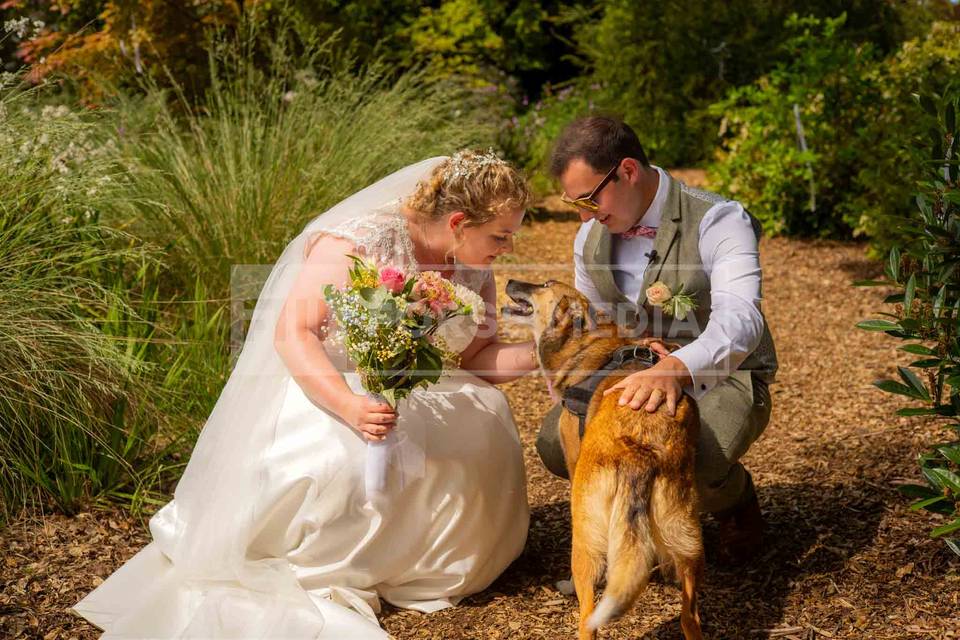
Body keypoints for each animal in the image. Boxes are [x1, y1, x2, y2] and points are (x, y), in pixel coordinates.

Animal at [502, 280, 704, 640]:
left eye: (544, 285)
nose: (510, 281)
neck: (586, 347)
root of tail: (639, 453)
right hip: (688, 538)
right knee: (689, 618)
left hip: (585, 539)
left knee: (588, 619)